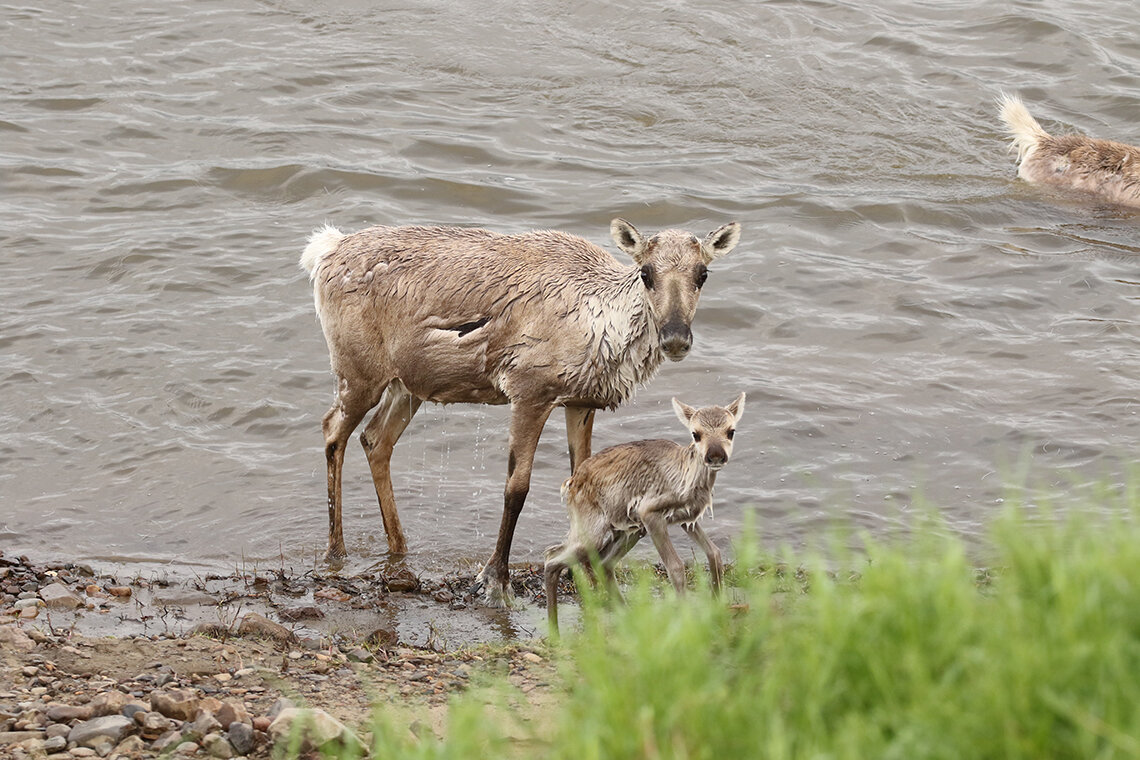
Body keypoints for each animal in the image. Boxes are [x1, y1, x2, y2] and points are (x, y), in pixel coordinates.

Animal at [300, 216, 738, 601]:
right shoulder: (530, 392)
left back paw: (398, 546)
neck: (602, 324)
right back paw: (336, 549)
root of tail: (325, 251)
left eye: (702, 274)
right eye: (645, 272)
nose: (675, 337)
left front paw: (590, 575)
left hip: (409, 385)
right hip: (360, 373)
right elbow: (516, 487)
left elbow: (582, 473)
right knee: (333, 430)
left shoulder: (580, 401)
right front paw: (495, 578)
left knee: (376, 440)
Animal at [544, 396, 747, 633]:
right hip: (593, 533)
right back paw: (554, 631)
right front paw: (686, 622)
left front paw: (717, 608)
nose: (715, 456)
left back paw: (628, 618)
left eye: (731, 431)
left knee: (602, 563)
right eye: (695, 434)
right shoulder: (650, 513)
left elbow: (715, 554)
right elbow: (676, 567)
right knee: (551, 558)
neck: (688, 478)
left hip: (629, 530)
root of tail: (570, 483)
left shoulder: (687, 518)